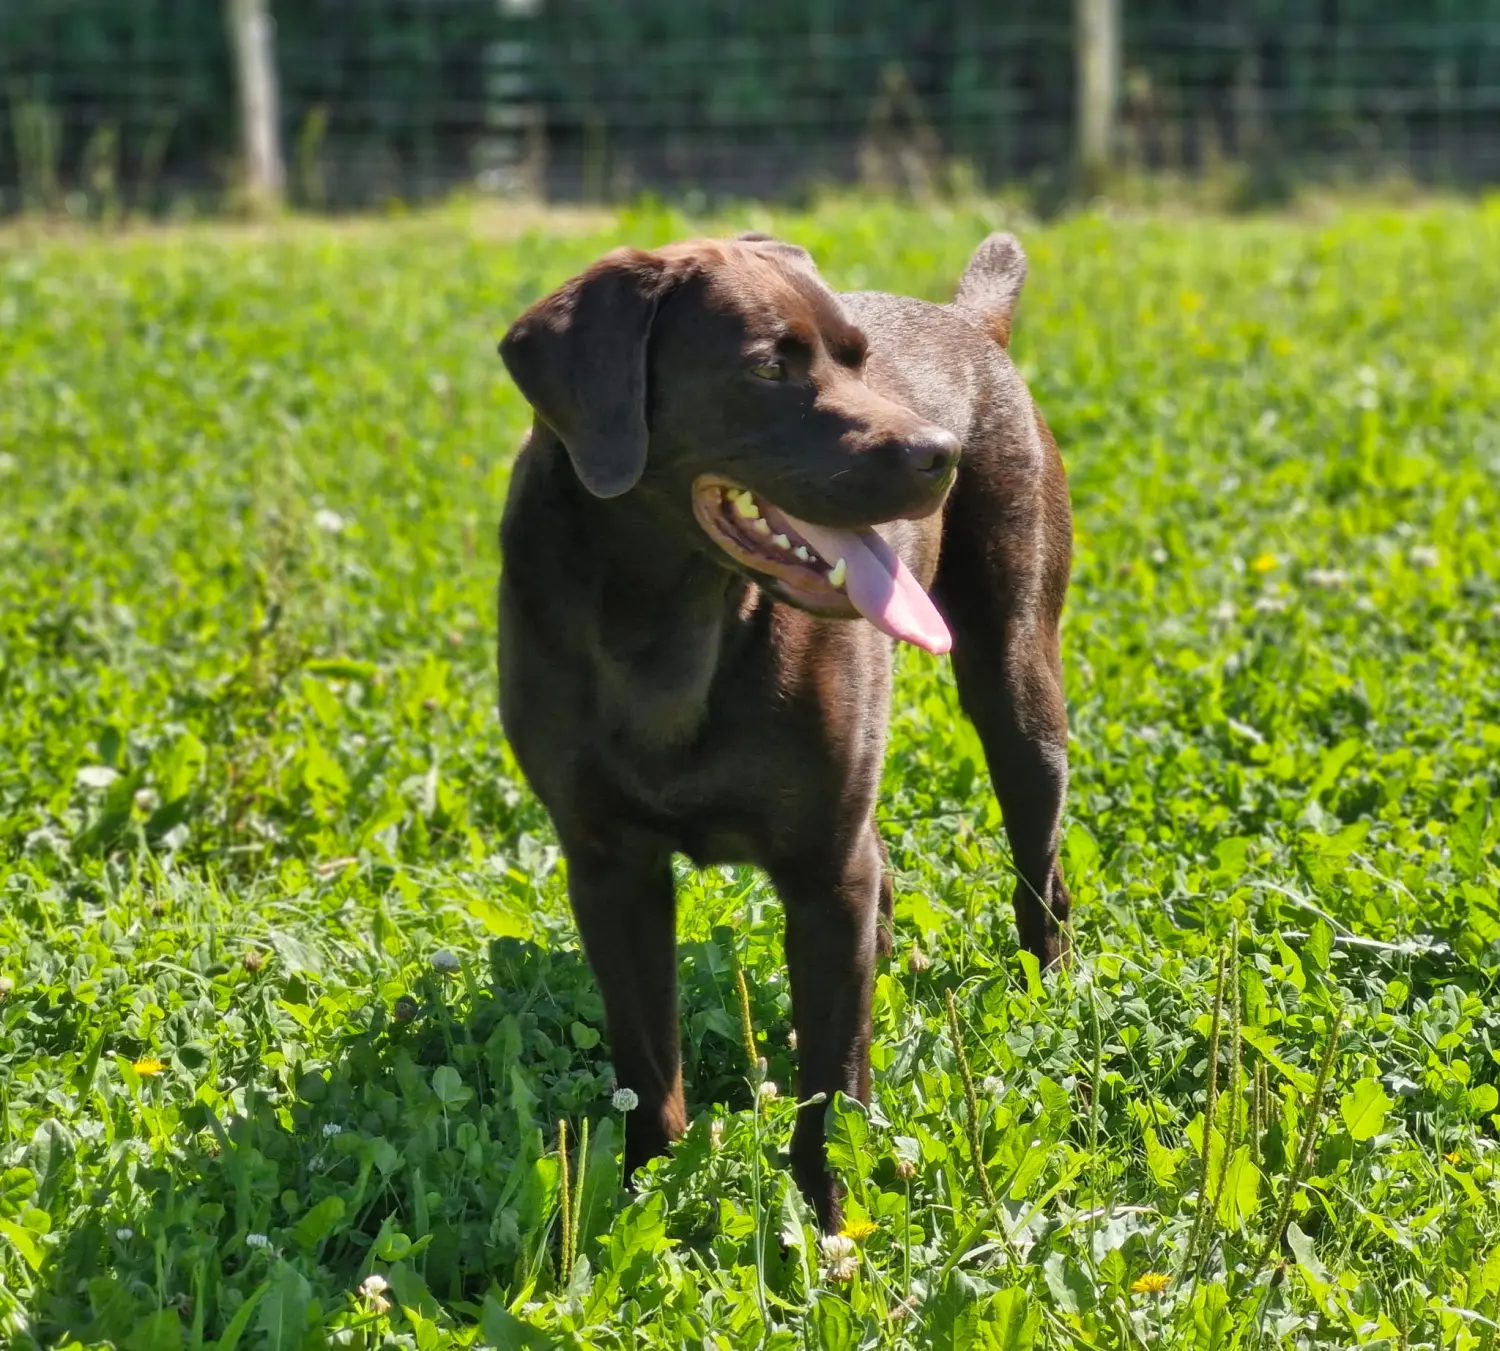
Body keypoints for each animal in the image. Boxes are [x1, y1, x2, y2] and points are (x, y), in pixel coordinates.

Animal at [498, 233, 1074, 1235]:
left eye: (858, 359)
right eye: (769, 367)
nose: (941, 453)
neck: (667, 619)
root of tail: (972, 321)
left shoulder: (821, 870)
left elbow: (833, 1086)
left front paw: (831, 1227)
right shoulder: (608, 867)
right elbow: (647, 1064)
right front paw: (643, 1204)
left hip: (1017, 686)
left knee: (1039, 876)